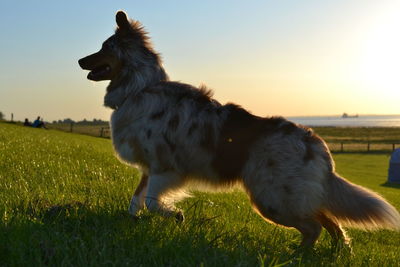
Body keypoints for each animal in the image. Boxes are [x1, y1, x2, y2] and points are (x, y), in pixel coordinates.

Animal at [78, 11, 400, 249]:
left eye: (105, 47)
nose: (80, 60)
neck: (140, 88)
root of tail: (318, 146)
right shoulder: (149, 168)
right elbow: (136, 200)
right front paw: (132, 220)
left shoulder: (165, 168)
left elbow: (153, 202)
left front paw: (177, 216)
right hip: (290, 196)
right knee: (330, 221)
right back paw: (334, 253)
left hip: (272, 198)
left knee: (314, 226)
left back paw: (298, 255)